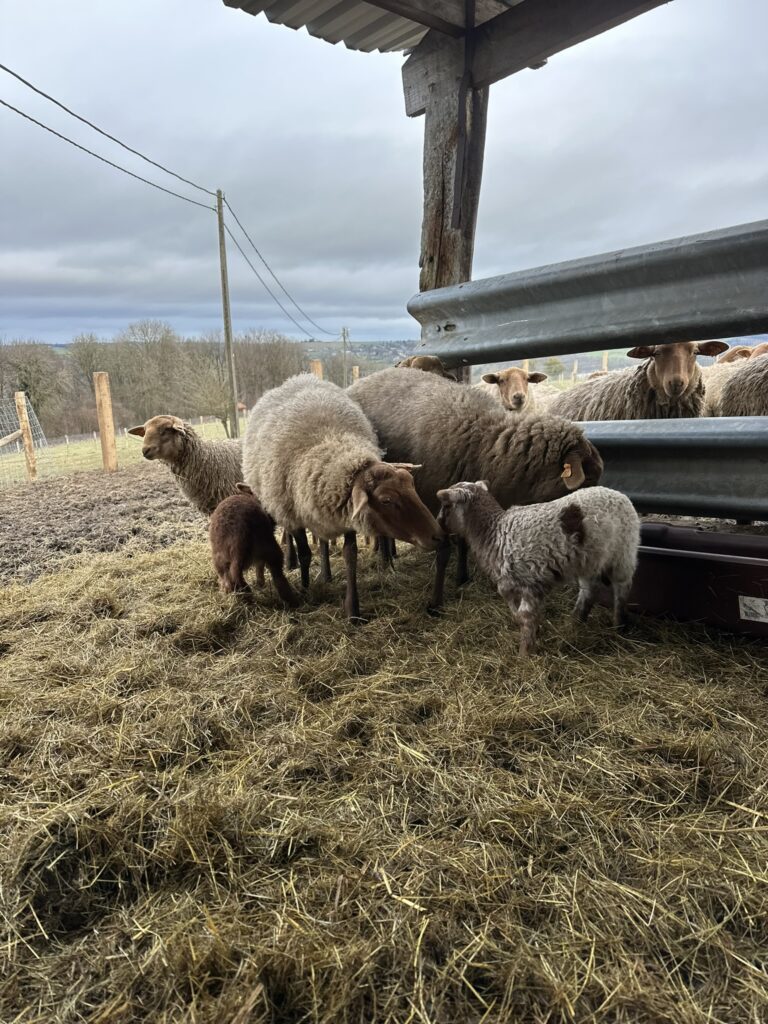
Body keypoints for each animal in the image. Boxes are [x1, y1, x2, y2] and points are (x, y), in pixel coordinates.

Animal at [242, 374, 442, 620]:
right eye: (386, 500)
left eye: (411, 484)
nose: (438, 536)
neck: (332, 444)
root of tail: (298, 377)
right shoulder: (294, 517)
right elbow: (306, 554)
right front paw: (305, 589)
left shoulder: (347, 515)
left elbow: (350, 557)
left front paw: (352, 610)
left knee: (324, 542)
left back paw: (326, 574)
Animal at [347, 368, 603, 611]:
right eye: (589, 477)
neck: (487, 443)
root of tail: (362, 380)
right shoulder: (437, 504)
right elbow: (443, 551)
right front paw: (435, 603)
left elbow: (463, 540)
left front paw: (462, 577)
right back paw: (386, 561)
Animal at [436, 481, 640, 657]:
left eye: (446, 505)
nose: (438, 524)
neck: (494, 531)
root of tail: (620, 495)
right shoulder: (509, 584)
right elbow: (517, 614)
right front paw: (534, 635)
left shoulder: (530, 582)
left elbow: (525, 616)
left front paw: (524, 655)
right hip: (589, 559)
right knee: (589, 591)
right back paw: (575, 622)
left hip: (623, 552)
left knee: (622, 588)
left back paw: (618, 626)